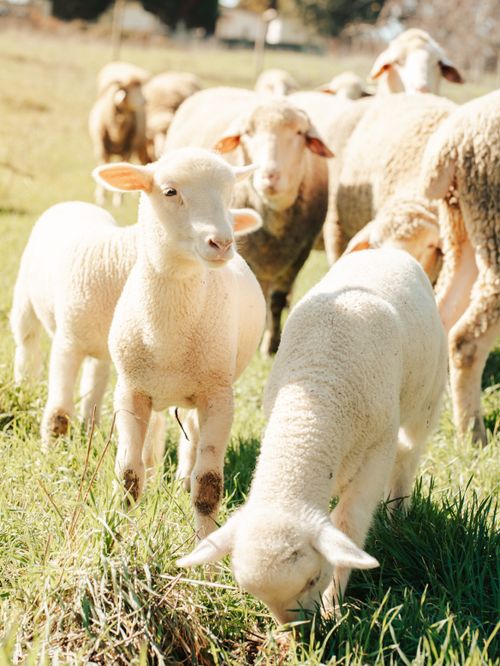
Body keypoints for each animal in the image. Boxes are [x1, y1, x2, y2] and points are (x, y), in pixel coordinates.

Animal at [93, 148, 266, 537]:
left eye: (230, 194)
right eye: (170, 191)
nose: (222, 243)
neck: (168, 335)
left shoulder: (218, 396)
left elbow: (209, 484)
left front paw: (204, 545)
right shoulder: (129, 392)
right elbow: (128, 475)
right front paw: (122, 533)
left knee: (192, 434)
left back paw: (183, 476)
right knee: (155, 434)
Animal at [164, 87, 334, 355]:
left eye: (299, 133)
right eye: (247, 133)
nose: (269, 175)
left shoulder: (299, 255)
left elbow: (276, 301)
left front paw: (271, 345)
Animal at [177, 248, 448, 623]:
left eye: (312, 579)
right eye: (255, 596)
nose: (298, 632)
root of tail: (387, 249)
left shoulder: (377, 451)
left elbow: (349, 525)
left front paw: (334, 605)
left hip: (427, 400)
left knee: (408, 456)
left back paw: (398, 513)